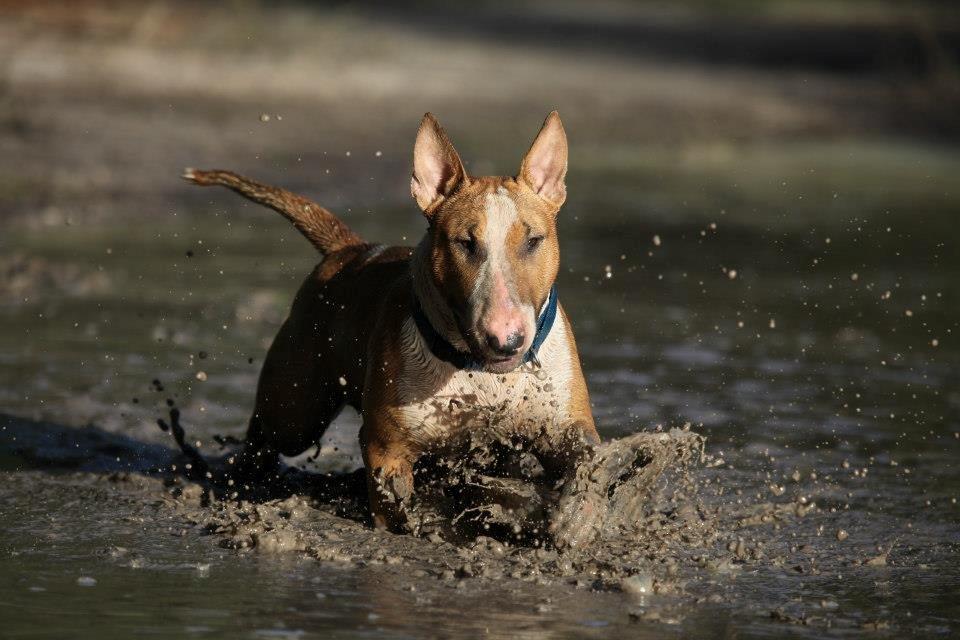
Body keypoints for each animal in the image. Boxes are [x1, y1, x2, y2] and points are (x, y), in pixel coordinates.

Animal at [183, 111, 596, 540]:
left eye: (533, 240)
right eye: (464, 243)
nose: (506, 339)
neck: (482, 375)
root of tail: (350, 249)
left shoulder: (568, 424)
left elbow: (582, 464)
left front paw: (572, 520)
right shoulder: (387, 449)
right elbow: (401, 508)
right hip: (296, 410)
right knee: (266, 434)